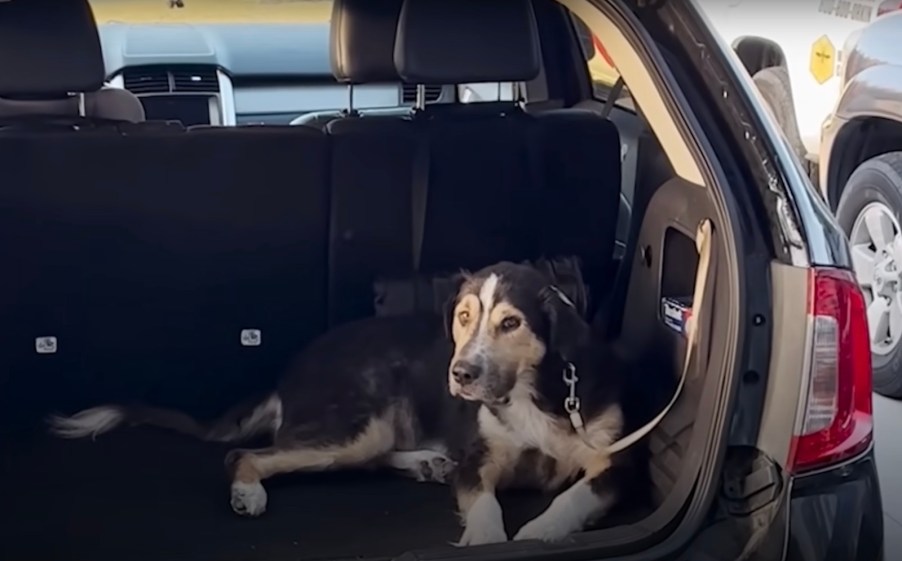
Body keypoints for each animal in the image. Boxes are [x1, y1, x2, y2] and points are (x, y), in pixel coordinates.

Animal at [49, 260, 652, 544]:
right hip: (356, 426)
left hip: (368, 432)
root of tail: (290, 369)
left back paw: (427, 462)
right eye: (463, 317)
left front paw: (540, 532)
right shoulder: (479, 459)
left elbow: (572, 497)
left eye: (511, 323)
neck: (533, 391)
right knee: (248, 454)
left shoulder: (615, 462)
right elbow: (483, 502)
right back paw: (248, 492)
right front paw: (486, 539)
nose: (459, 374)